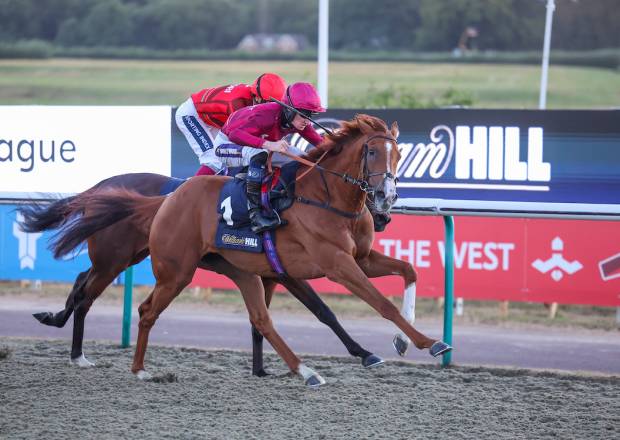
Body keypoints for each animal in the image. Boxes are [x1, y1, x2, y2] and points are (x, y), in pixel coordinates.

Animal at [41, 115, 450, 386]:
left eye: (398, 154)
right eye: (372, 152)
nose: (386, 197)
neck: (325, 198)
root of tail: (168, 199)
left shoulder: (358, 259)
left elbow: (409, 271)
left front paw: (401, 341)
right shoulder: (335, 264)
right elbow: (373, 305)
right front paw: (427, 343)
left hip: (237, 271)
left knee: (261, 319)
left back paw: (306, 371)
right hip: (166, 269)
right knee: (133, 307)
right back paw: (132, 367)